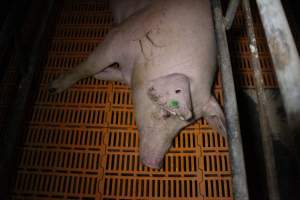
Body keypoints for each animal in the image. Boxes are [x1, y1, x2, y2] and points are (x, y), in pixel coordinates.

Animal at [48, 0, 225, 169]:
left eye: (186, 125)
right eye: (167, 114)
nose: (154, 164)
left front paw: (101, 75)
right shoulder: (119, 36)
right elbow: (89, 67)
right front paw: (53, 88)